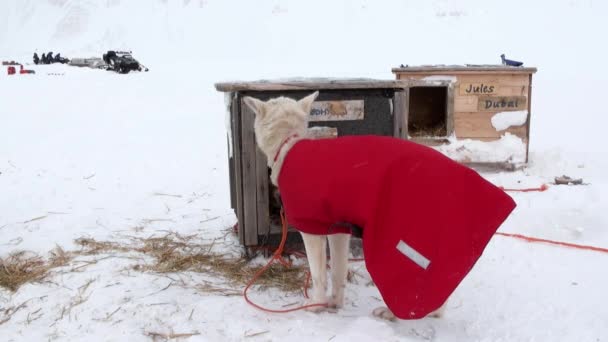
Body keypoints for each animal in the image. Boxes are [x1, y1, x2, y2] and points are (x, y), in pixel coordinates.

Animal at [243, 91, 446, 320]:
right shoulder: (339, 231)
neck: (290, 143)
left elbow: (318, 275)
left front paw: (316, 305)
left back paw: (393, 313)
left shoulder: (311, 230)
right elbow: (338, 271)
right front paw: (335, 303)